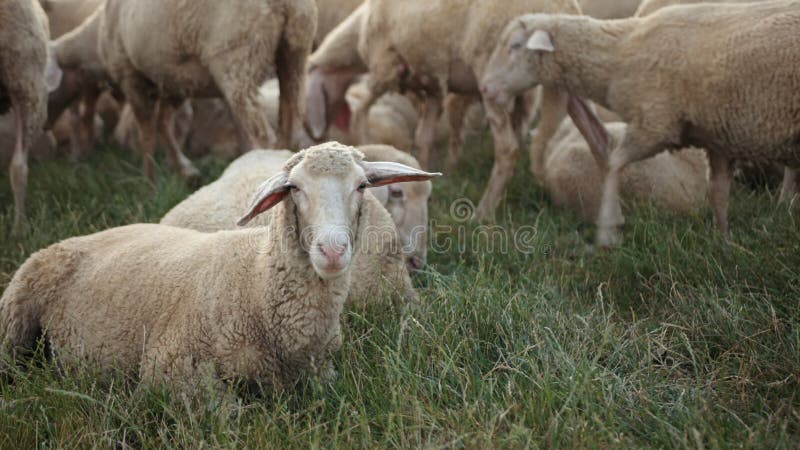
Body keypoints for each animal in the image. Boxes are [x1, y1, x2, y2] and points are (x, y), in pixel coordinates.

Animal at [306, 0, 580, 221]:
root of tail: (560, 10)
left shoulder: (386, 66)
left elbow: (363, 109)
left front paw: (363, 139)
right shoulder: (432, 85)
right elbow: (424, 136)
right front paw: (424, 172)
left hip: (492, 76)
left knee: (508, 148)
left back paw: (483, 212)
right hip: (545, 87)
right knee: (535, 136)